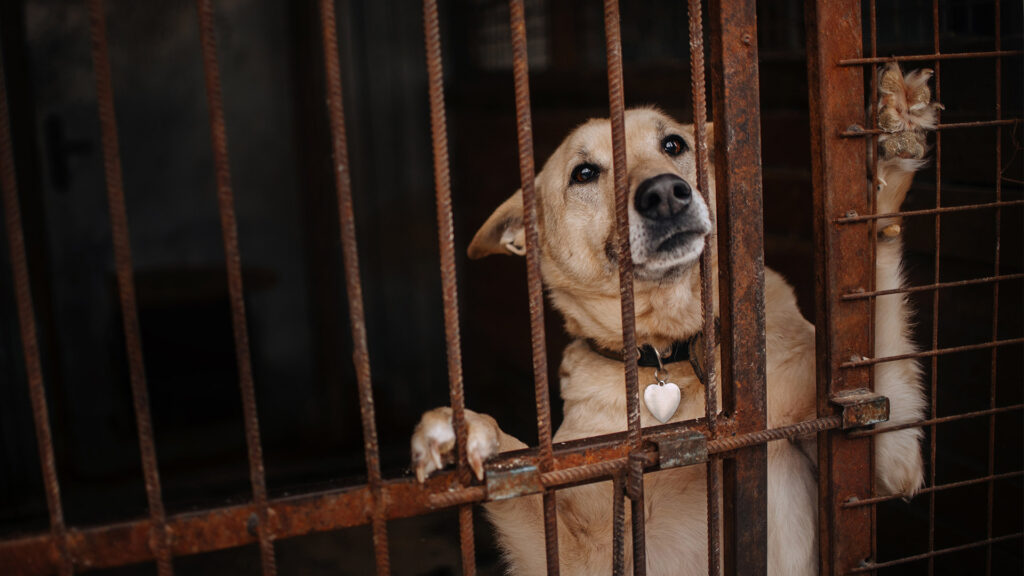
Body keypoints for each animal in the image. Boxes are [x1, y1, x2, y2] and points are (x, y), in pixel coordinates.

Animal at [409, 62, 937, 569]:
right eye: (584, 173)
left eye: (673, 144)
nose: (665, 193)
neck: (670, 354)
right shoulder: (581, 552)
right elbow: (523, 475)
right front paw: (467, 431)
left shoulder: (881, 459)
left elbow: (873, 364)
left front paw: (894, 136)